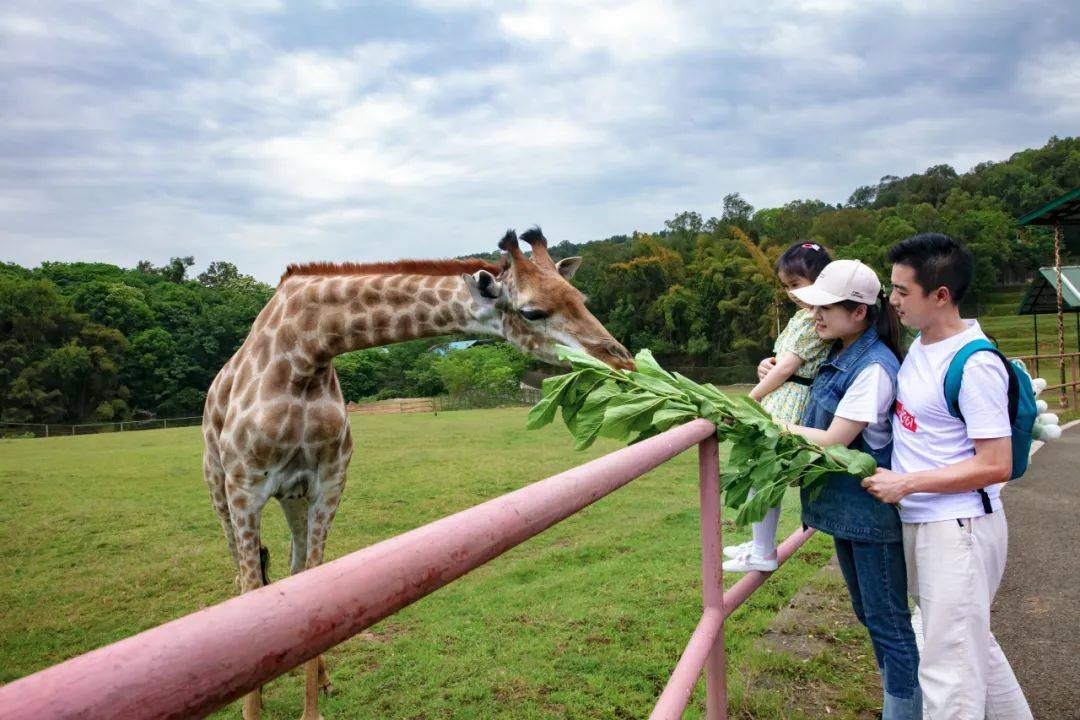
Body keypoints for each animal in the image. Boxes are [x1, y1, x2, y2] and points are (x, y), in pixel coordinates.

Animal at [203, 227, 630, 716]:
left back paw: (322, 679)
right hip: (219, 488)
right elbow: (252, 591)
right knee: (245, 578)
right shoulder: (246, 488)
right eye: (532, 311)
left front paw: (314, 703)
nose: (623, 360)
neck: (306, 352)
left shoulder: (329, 482)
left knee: (294, 571)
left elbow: (313, 593)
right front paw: (253, 708)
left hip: (293, 497)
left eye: (580, 298)